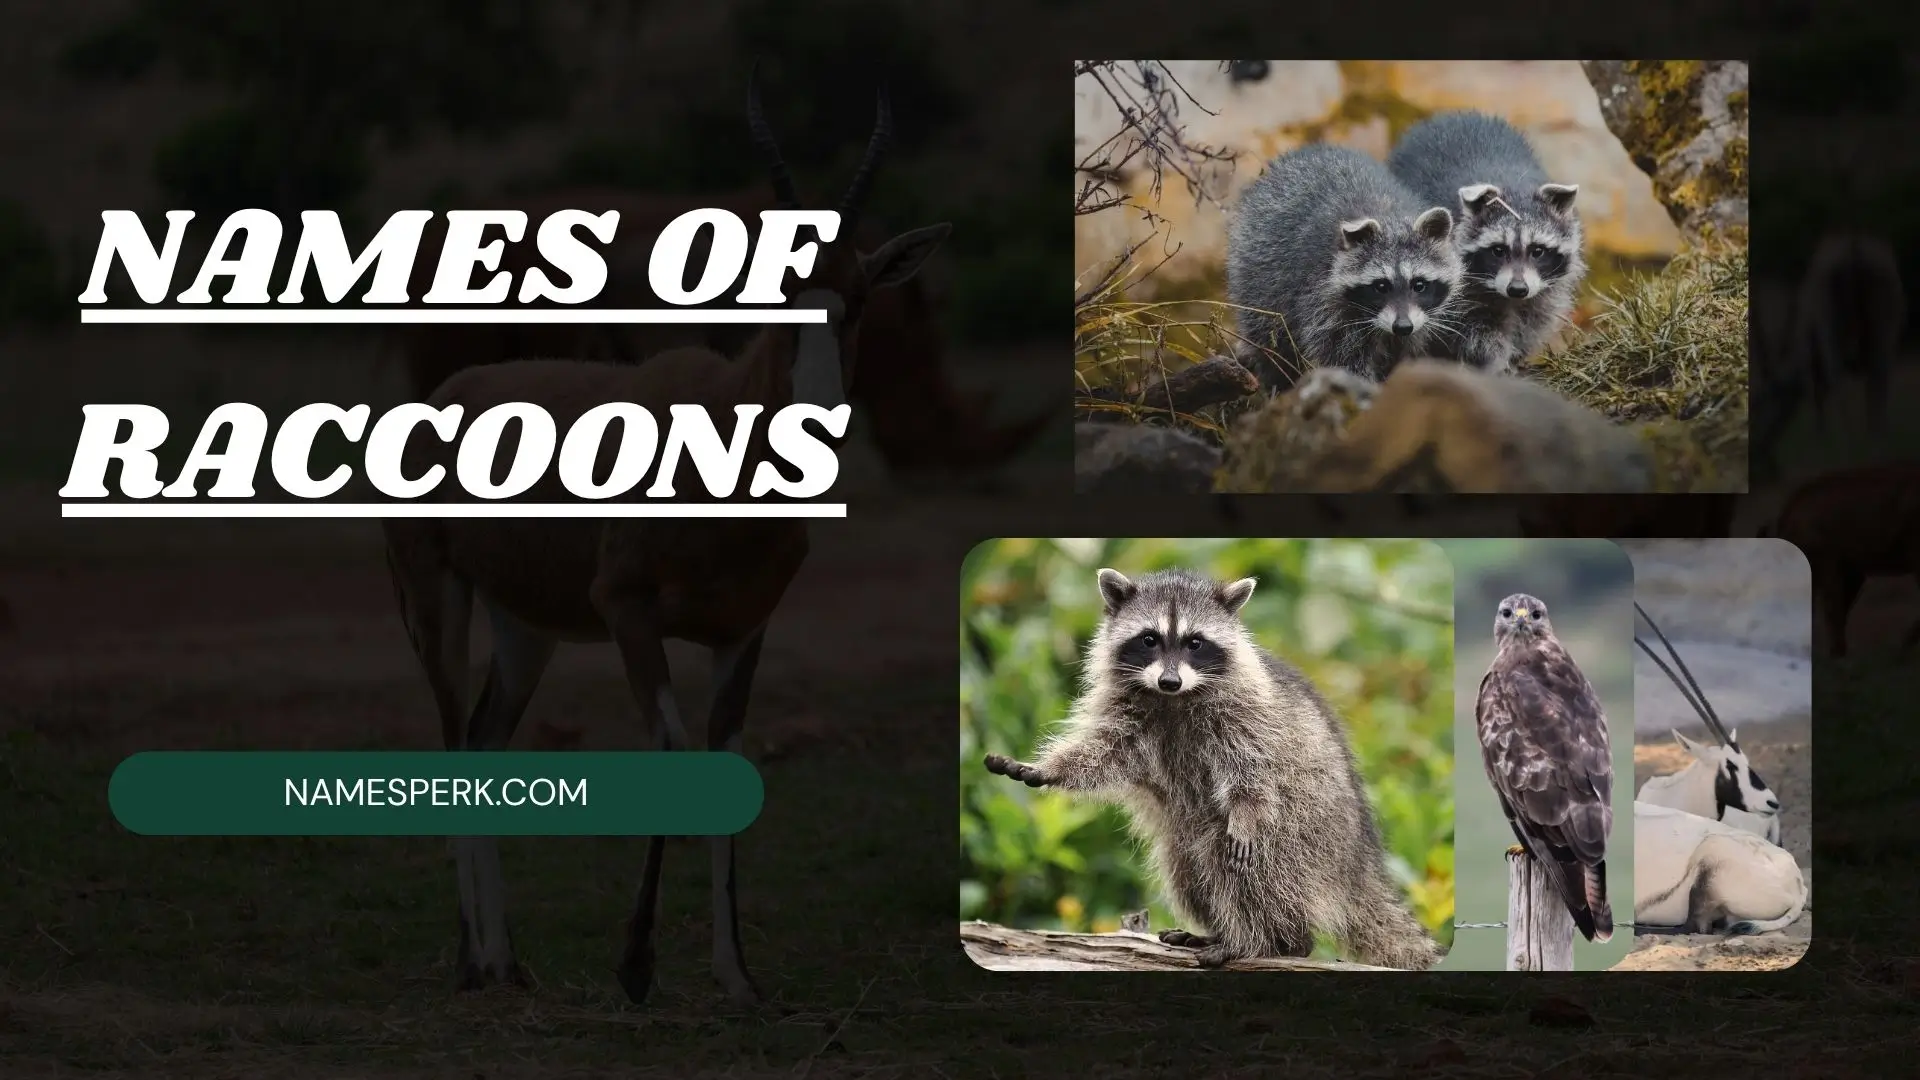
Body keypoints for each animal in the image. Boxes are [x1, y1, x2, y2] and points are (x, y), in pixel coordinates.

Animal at [983, 567, 1443, 970]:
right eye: (1149, 639)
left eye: (1195, 642)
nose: (1169, 681)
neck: (1172, 699)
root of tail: (1359, 865)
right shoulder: (1126, 712)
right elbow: (1100, 753)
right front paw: (1048, 768)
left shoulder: (1245, 715)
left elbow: (1254, 771)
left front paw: (1246, 810)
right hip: (1186, 838)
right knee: (1187, 872)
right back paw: (1224, 933)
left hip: (1302, 834)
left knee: (1247, 867)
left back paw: (1265, 941)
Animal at [1227, 143, 1465, 392]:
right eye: (1381, 286)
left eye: (1419, 284)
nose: (1402, 326)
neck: (1390, 218)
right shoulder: (1322, 299)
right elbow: (1342, 357)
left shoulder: (1421, 319)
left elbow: (1406, 348)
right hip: (1257, 268)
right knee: (1269, 336)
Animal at [1387, 111, 1587, 374]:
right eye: (1498, 250)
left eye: (1538, 251)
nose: (1517, 289)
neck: (1514, 186)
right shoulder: (1458, 287)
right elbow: (1474, 330)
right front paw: (1493, 359)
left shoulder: (1544, 289)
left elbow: (1534, 318)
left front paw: (1516, 355)